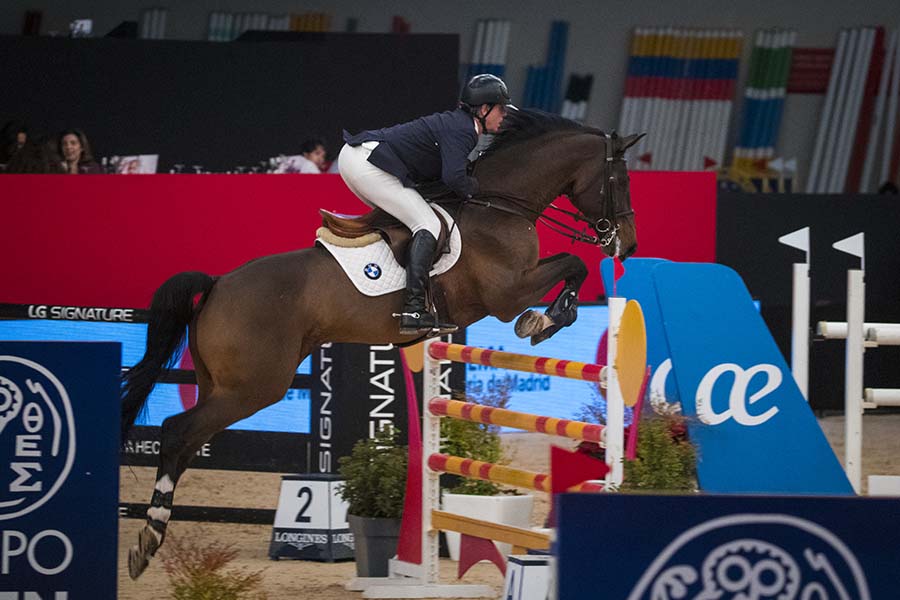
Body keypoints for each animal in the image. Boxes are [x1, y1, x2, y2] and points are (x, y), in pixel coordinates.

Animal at [123, 110, 644, 580]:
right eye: (619, 179)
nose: (629, 246)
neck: (500, 205)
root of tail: (217, 285)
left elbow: (573, 266)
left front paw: (548, 318)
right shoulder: (507, 293)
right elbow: (573, 265)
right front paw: (542, 321)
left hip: (222, 385)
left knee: (189, 441)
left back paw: (151, 534)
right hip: (253, 388)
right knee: (176, 432)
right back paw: (148, 539)